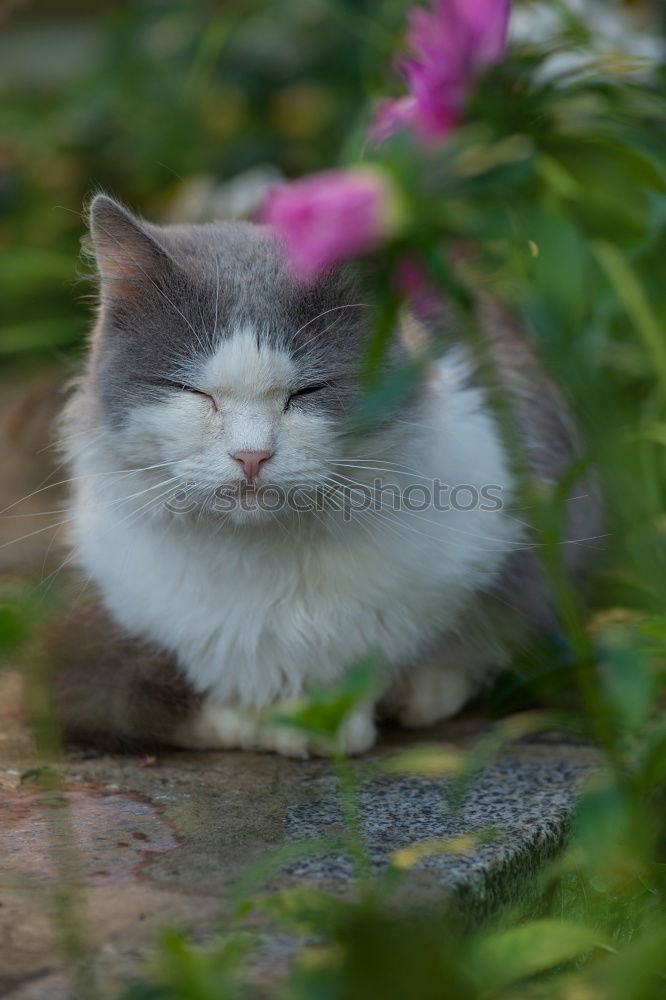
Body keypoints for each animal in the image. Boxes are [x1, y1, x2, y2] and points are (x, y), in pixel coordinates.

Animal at [53, 193, 596, 756]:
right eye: (194, 393)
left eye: (307, 392)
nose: (252, 456)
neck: (265, 561)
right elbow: (186, 703)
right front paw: (278, 721)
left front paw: (351, 715)